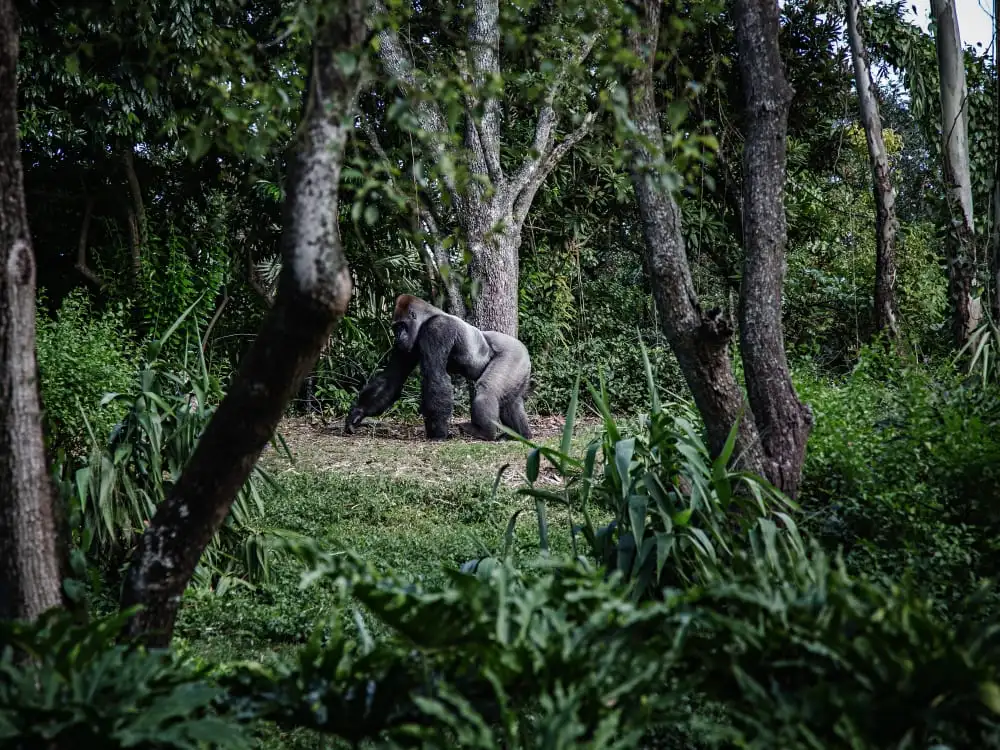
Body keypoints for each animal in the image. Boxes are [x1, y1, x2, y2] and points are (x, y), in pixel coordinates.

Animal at [344, 294, 533, 441]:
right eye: (395, 327)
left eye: (402, 326)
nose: (397, 336)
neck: (427, 317)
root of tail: (524, 349)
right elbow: (392, 378)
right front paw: (358, 413)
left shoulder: (437, 329)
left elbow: (434, 375)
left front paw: (438, 433)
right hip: (520, 366)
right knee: (510, 402)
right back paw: (521, 434)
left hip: (513, 354)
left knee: (487, 390)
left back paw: (484, 432)